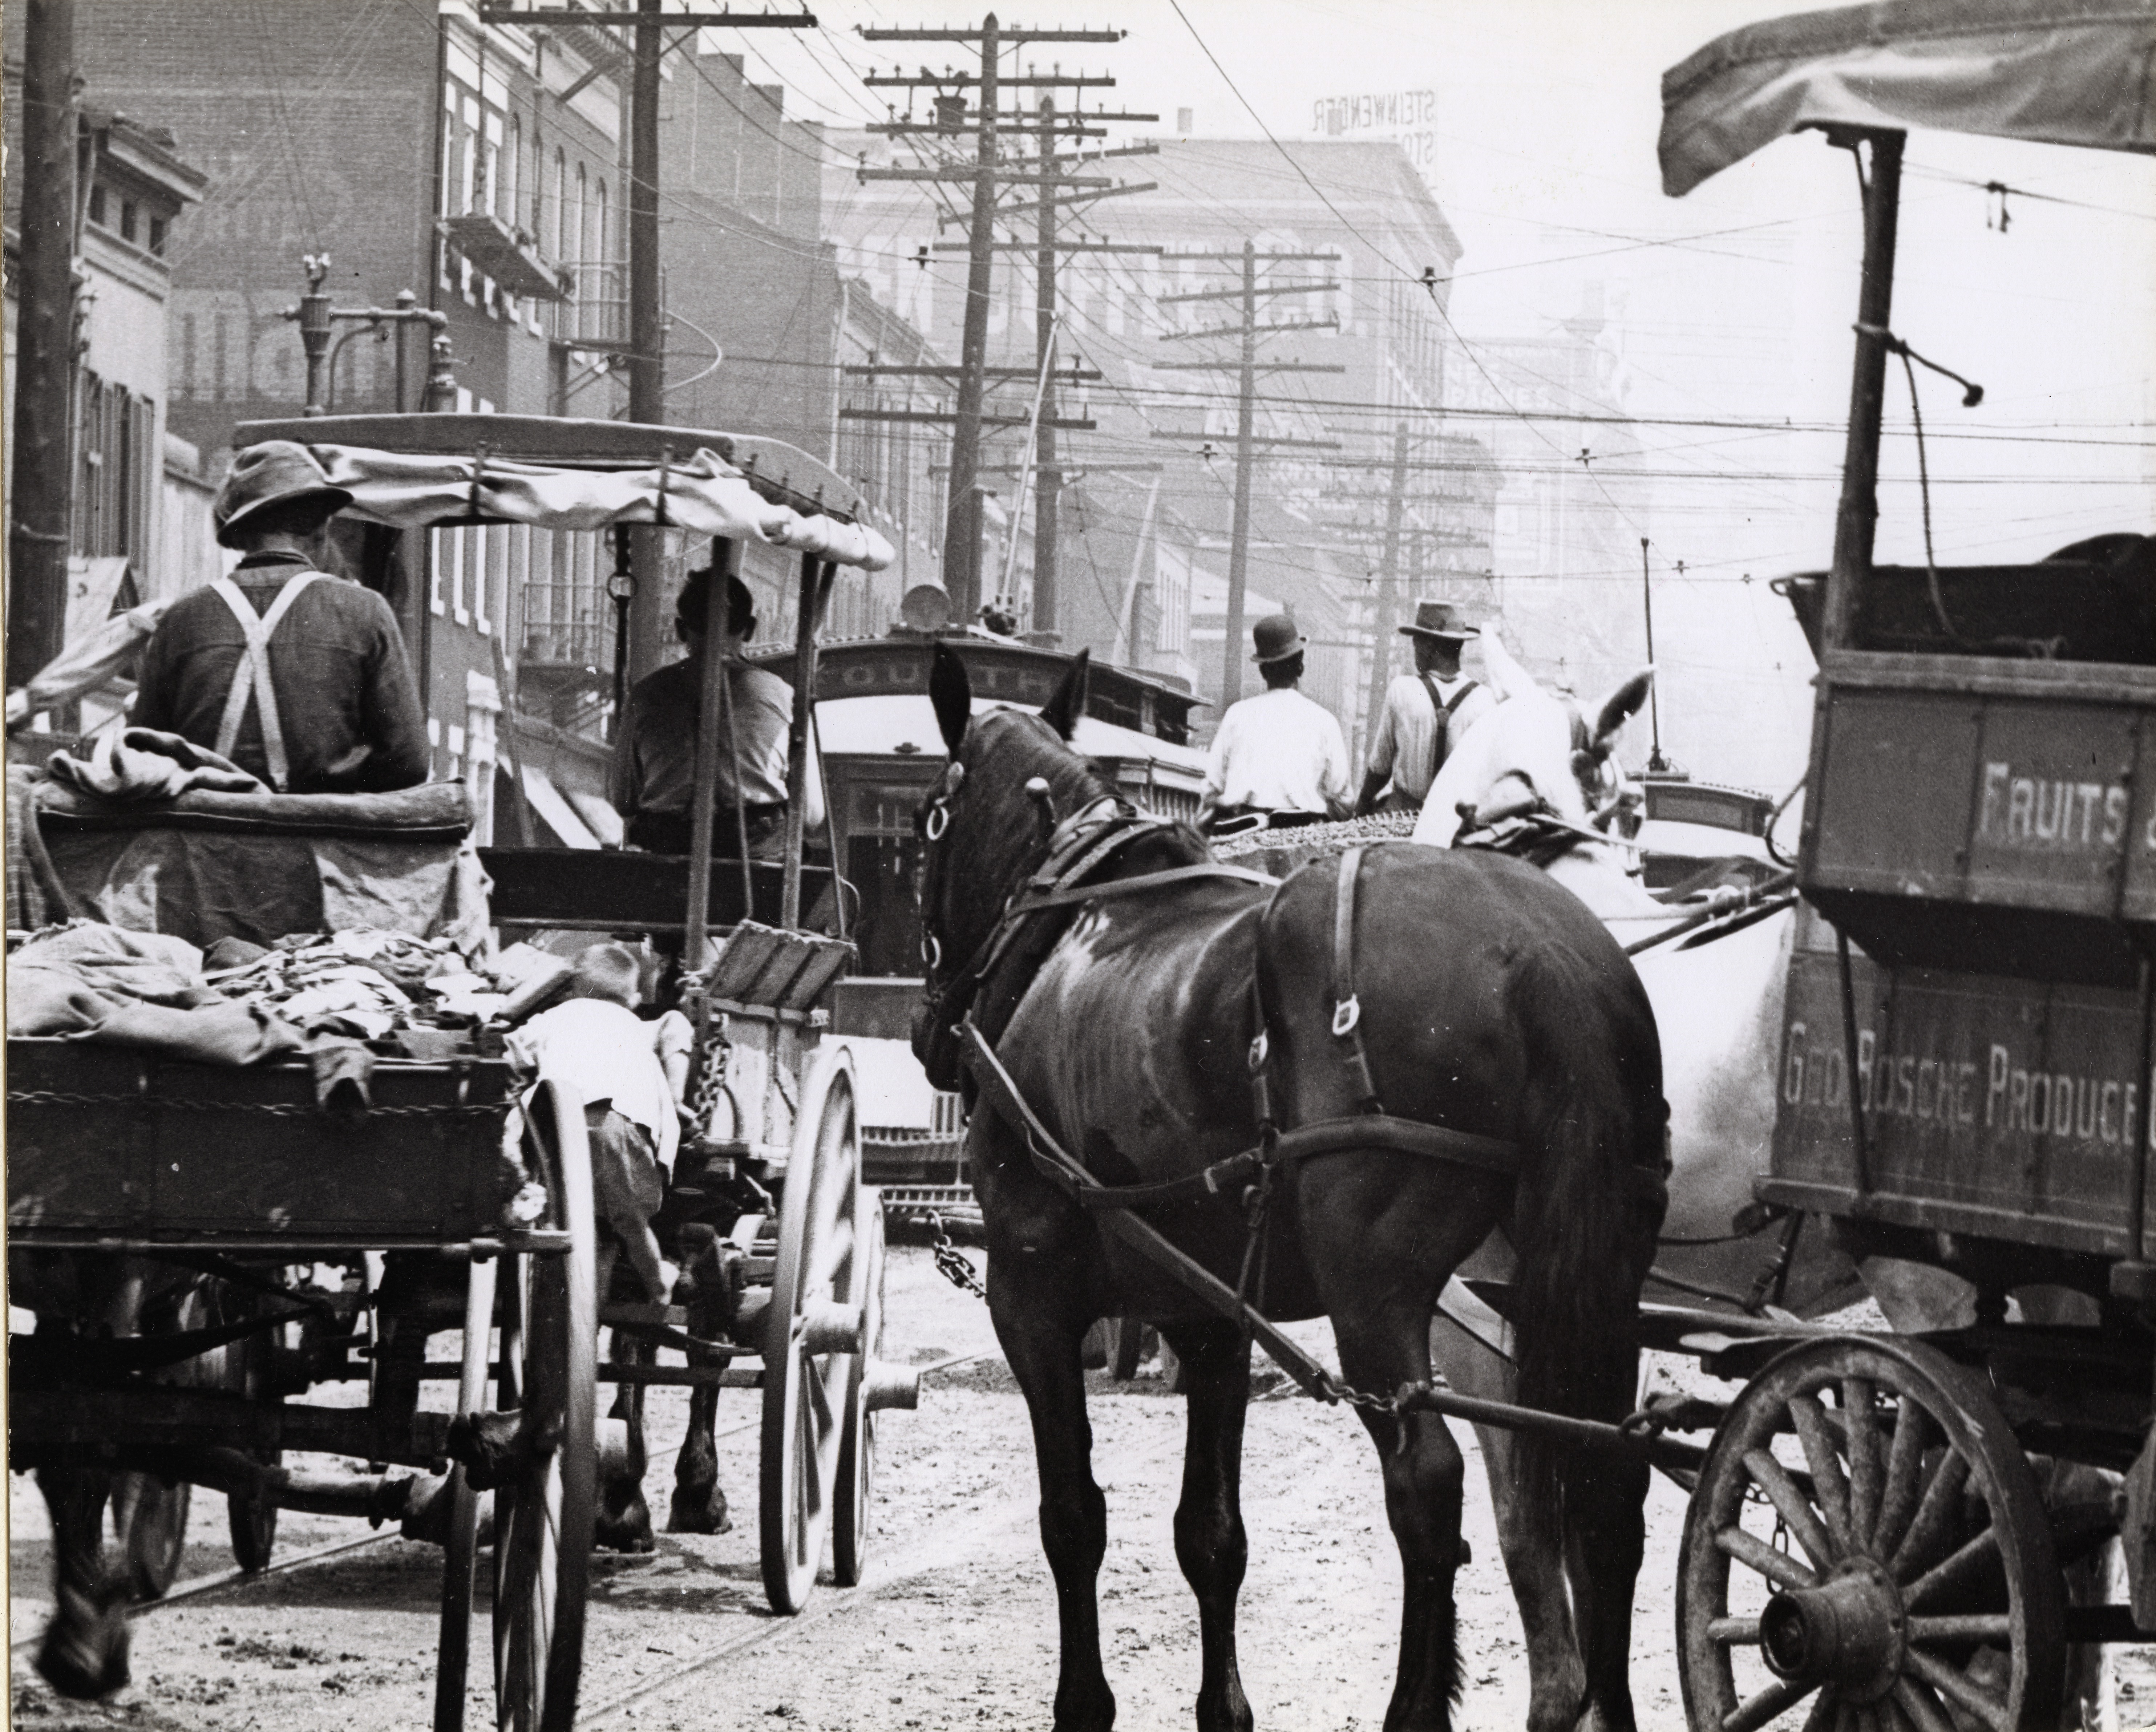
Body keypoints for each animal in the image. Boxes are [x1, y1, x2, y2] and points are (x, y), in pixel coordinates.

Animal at [918, 651, 1673, 1732]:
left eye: (926, 823)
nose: (929, 1033)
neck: (1077, 926)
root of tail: (1540, 952)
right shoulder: (1205, 1318)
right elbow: (1209, 1534)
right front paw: (1222, 1708)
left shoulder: (1029, 1296)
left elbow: (1072, 1517)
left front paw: (1083, 1701)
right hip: (1587, 1279)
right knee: (1603, 1480)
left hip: (1374, 1293)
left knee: (1427, 1485)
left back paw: (1412, 1707)